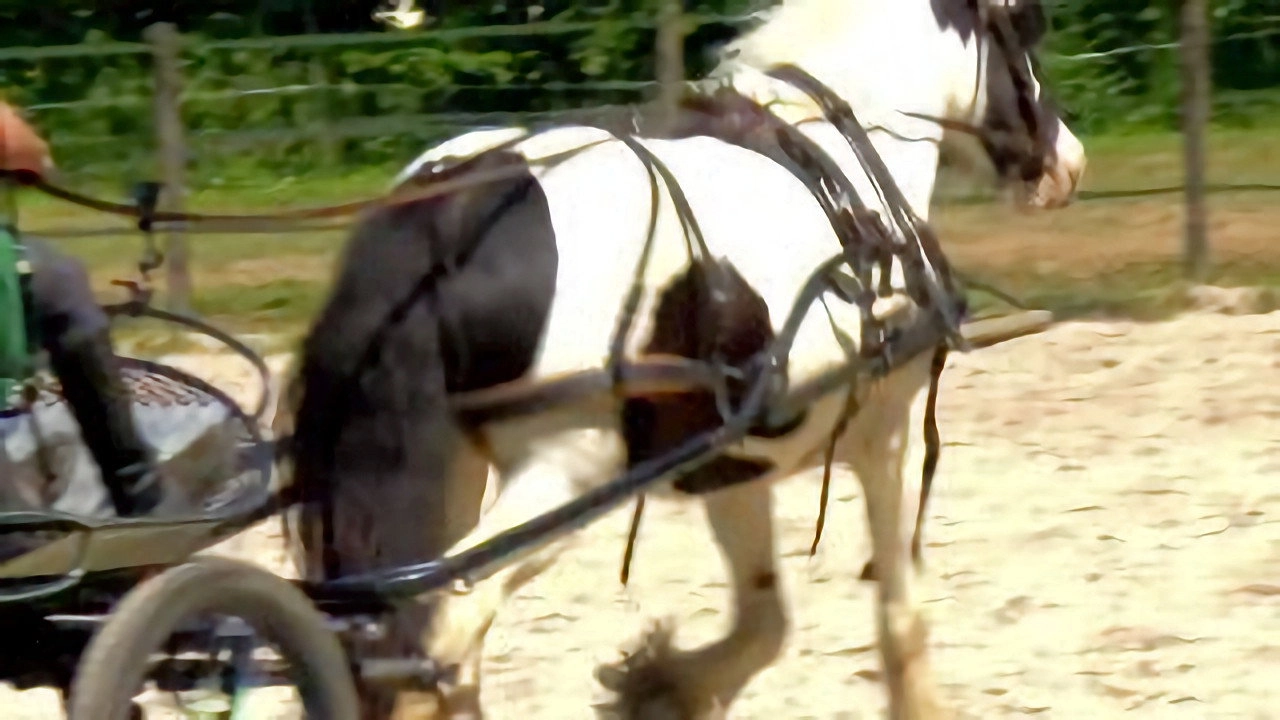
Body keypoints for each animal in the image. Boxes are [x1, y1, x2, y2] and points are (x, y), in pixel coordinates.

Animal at [281, 1, 1086, 718]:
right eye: (1026, 27)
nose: (1068, 161)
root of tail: (452, 211)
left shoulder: (732, 460)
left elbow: (765, 620)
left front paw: (659, 685)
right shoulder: (886, 429)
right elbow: (899, 615)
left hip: (453, 474)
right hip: (566, 470)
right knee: (441, 634)